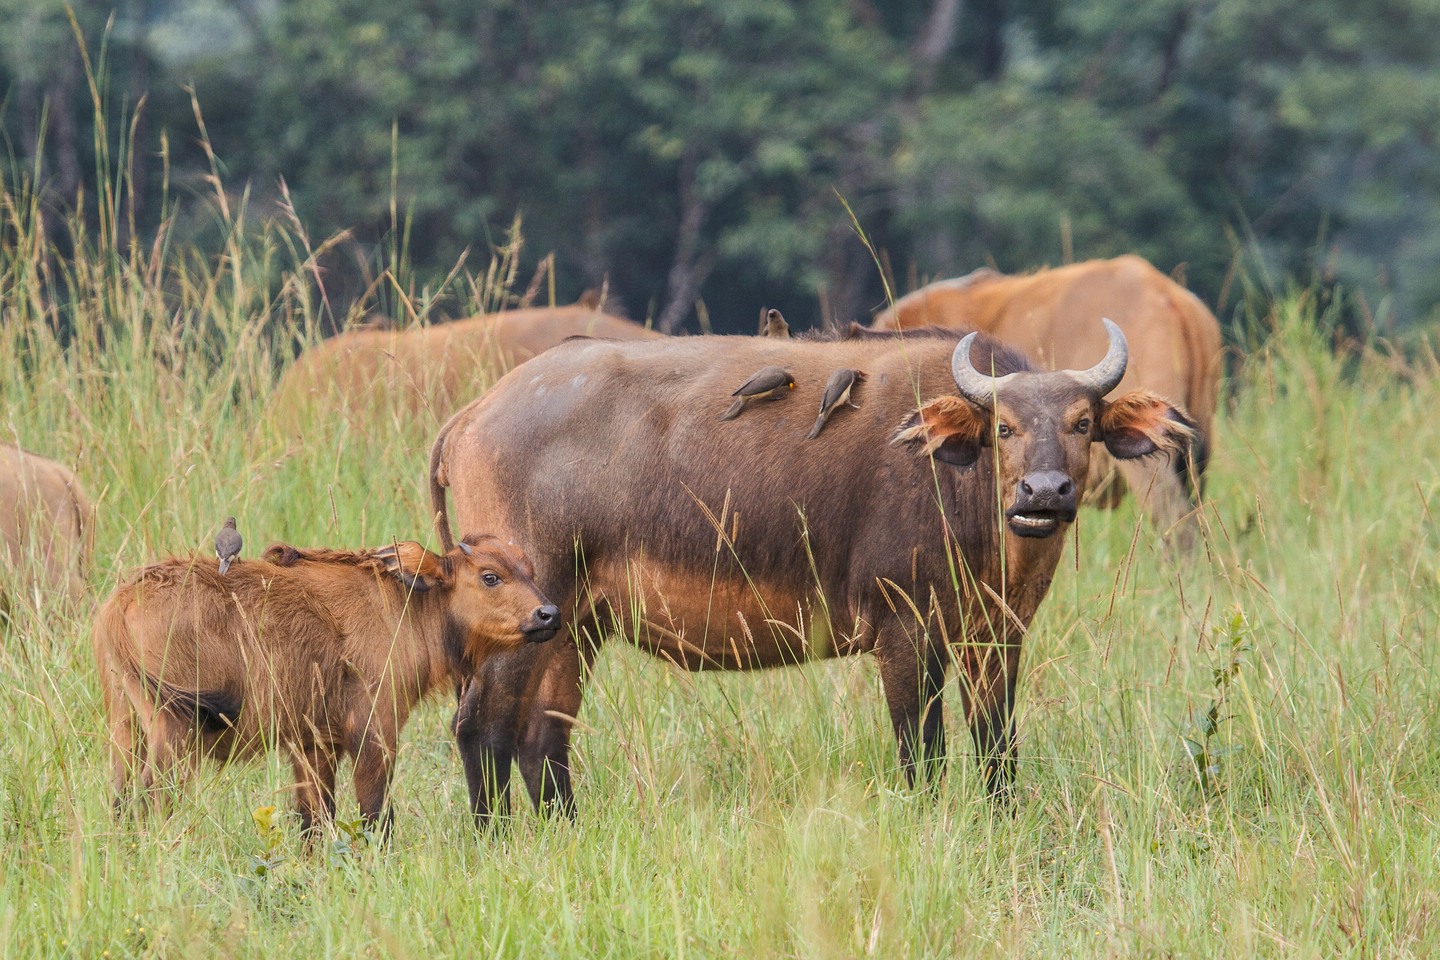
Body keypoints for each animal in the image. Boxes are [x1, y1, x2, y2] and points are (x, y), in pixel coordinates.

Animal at [92, 538, 558, 834]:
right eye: (490, 576)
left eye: (529, 570)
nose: (548, 614)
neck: (403, 606)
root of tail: (122, 600)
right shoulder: (374, 734)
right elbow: (374, 813)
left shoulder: (314, 745)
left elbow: (314, 820)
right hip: (173, 735)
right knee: (149, 797)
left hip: (126, 729)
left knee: (119, 799)